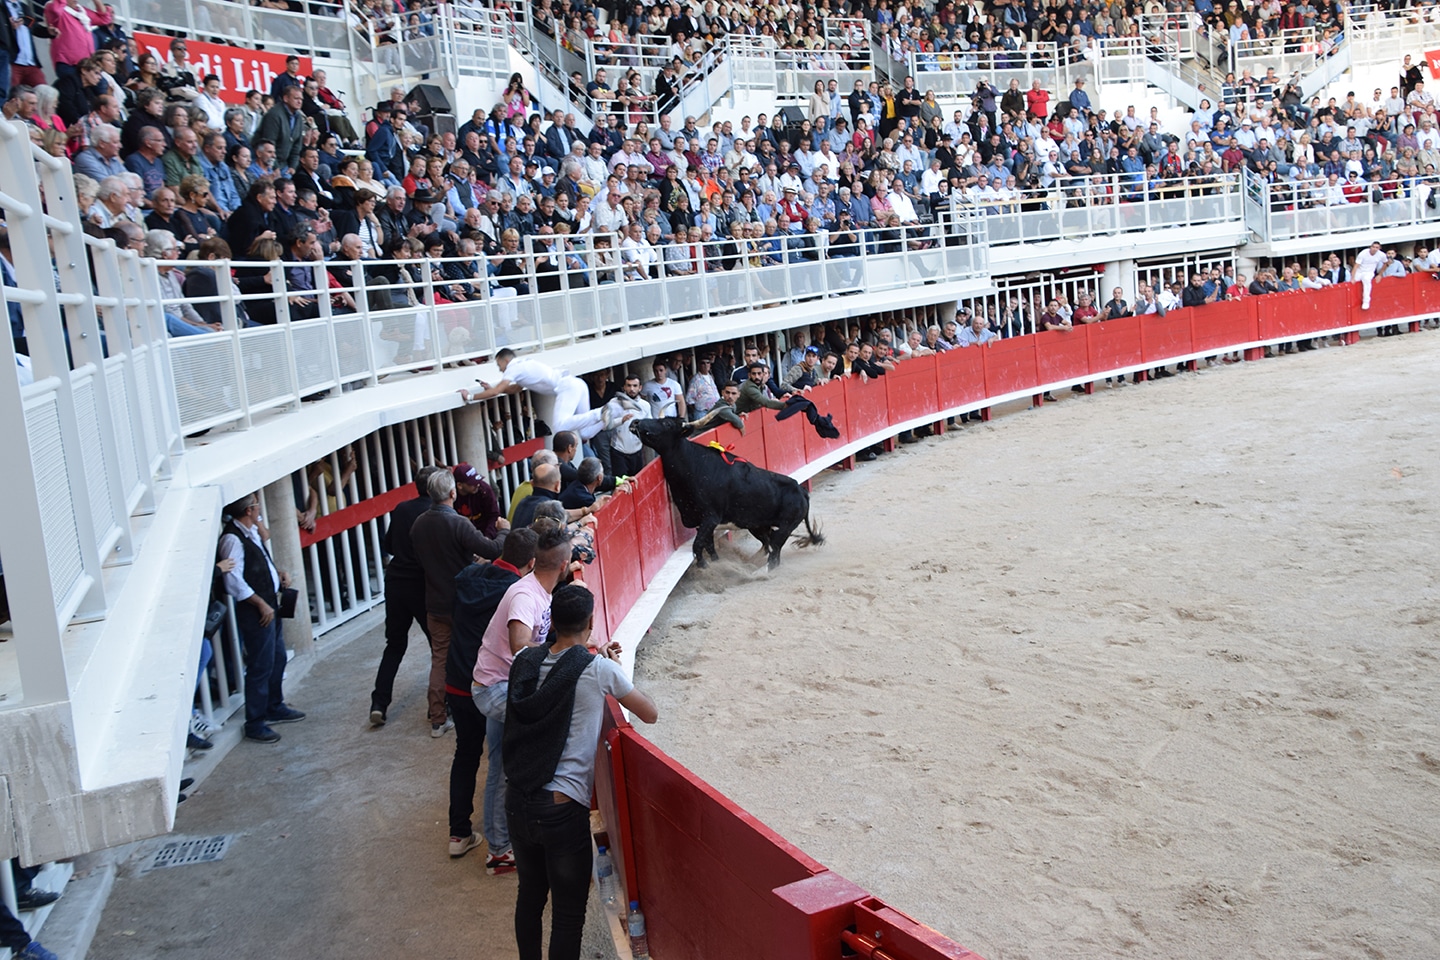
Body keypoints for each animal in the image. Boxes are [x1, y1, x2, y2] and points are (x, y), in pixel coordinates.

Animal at [630, 417, 823, 567]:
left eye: (668, 423)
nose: (635, 422)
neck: (693, 466)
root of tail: (801, 490)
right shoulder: (702, 523)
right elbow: (709, 546)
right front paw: (716, 562)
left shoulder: (711, 517)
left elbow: (697, 546)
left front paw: (704, 567)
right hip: (757, 525)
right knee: (767, 545)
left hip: (784, 527)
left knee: (774, 551)